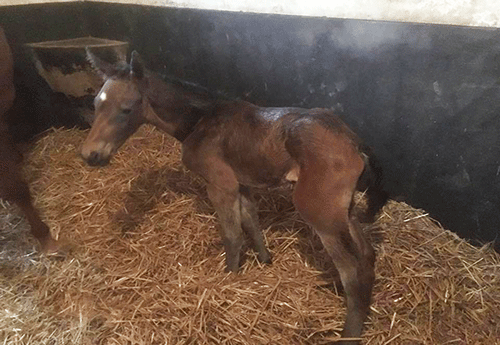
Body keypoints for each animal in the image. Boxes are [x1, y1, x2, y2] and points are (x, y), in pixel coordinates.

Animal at [81, 49, 386, 342]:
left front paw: (230, 275)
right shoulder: (242, 183)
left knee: (352, 269)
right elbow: (250, 221)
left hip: (319, 211)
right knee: (366, 255)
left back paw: (349, 332)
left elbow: (232, 234)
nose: (90, 155)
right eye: (95, 103)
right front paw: (264, 260)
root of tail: (353, 142)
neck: (200, 120)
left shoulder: (220, 183)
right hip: (343, 209)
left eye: (126, 109)